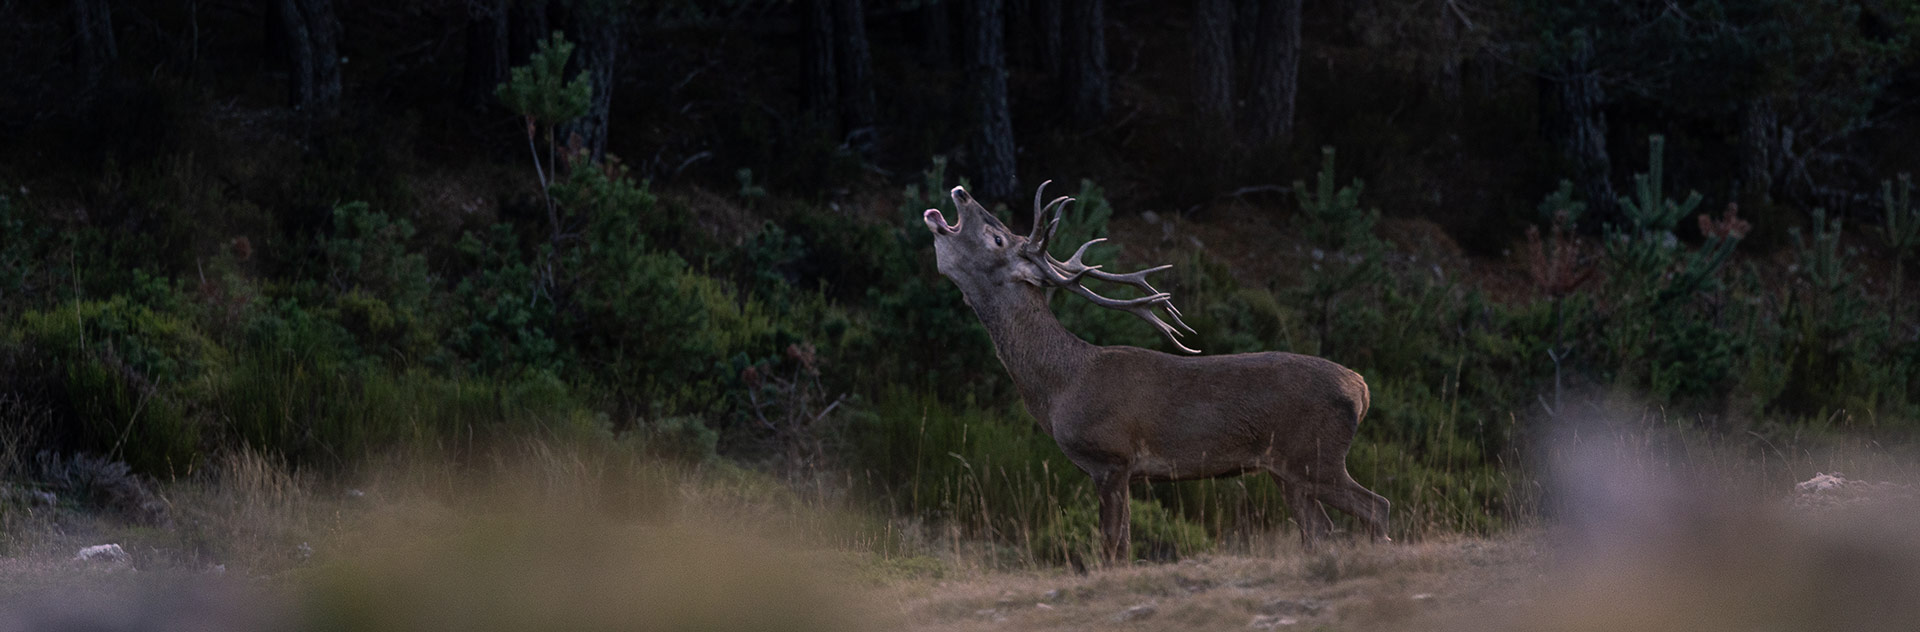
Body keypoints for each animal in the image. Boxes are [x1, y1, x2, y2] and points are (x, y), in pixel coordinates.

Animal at [921, 183, 1390, 563]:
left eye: (997, 237)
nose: (962, 192)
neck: (1060, 387)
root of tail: (1362, 388)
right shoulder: (1122, 470)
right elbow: (1121, 543)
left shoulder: (1111, 457)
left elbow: (1113, 546)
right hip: (1287, 469)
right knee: (1320, 530)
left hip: (1316, 454)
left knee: (1376, 506)